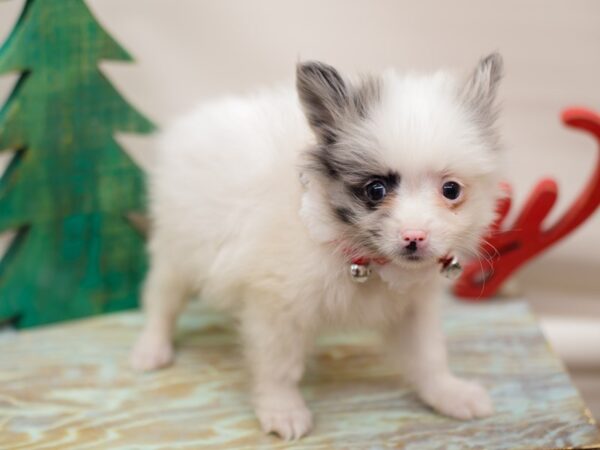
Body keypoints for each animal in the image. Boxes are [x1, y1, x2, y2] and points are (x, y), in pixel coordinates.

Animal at [132, 53, 506, 440]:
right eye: (376, 190)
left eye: (451, 190)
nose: (414, 237)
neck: (365, 260)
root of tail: (192, 123)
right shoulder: (275, 305)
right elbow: (279, 366)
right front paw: (283, 410)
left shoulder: (413, 307)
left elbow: (429, 356)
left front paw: (449, 393)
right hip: (177, 248)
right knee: (161, 300)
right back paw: (152, 348)